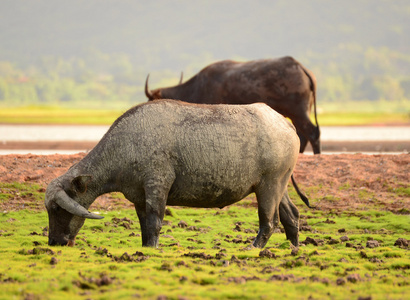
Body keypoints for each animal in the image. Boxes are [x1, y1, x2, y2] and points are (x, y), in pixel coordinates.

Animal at [44, 98, 308, 248]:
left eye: (56, 208)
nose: (54, 243)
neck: (126, 144)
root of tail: (285, 123)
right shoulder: (139, 196)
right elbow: (144, 225)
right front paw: (146, 248)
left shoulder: (157, 185)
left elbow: (154, 222)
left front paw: (153, 248)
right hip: (279, 185)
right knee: (291, 215)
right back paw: (294, 248)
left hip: (269, 186)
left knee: (269, 222)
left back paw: (253, 247)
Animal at [146, 56, 322, 155]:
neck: (196, 86)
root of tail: (300, 67)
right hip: (301, 112)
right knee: (303, 135)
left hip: (298, 112)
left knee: (312, 133)